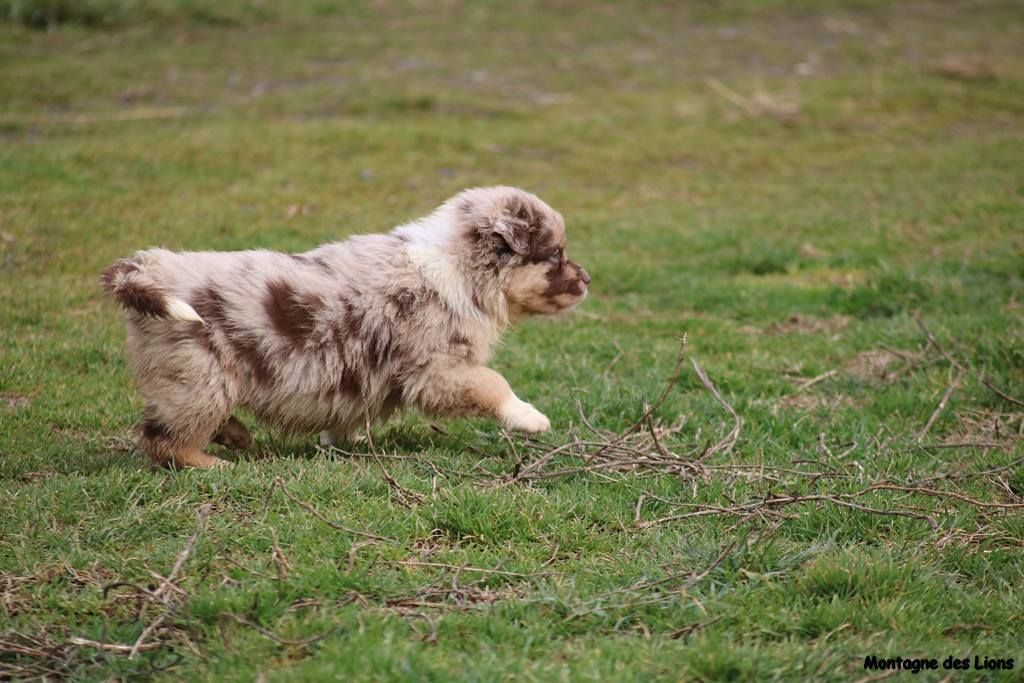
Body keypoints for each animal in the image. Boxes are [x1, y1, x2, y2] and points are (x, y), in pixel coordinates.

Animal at [102, 184, 589, 466]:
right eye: (555, 255)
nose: (587, 279)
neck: (459, 266)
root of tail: (143, 269)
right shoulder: (434, 368)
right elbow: (493, 383)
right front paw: (530, 417)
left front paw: (336, 439)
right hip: (200, 373)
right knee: (163, 439)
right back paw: (215, 464)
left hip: (193, 377)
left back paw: (234, 436)